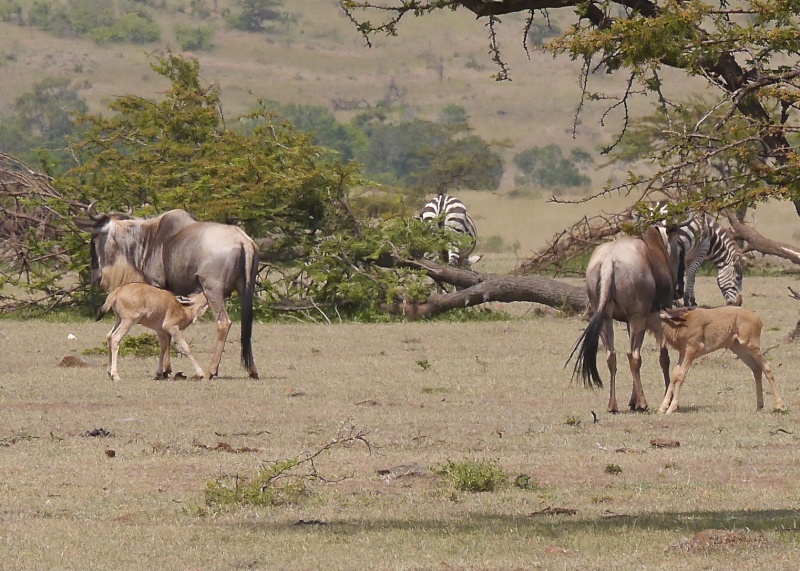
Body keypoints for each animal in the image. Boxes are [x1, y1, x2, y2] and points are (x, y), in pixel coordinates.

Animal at [648, 306, 784, 414]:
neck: (682, 323)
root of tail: (757, 318)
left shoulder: (691, 350)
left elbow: (681, 375)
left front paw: (671, 408)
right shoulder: (683, 353)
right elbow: (674, 375)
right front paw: (662, 407)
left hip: (751, 346)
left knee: (766, 366)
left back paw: (779, 405)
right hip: (738, 348)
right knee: (756, 368)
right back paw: (759, 405)